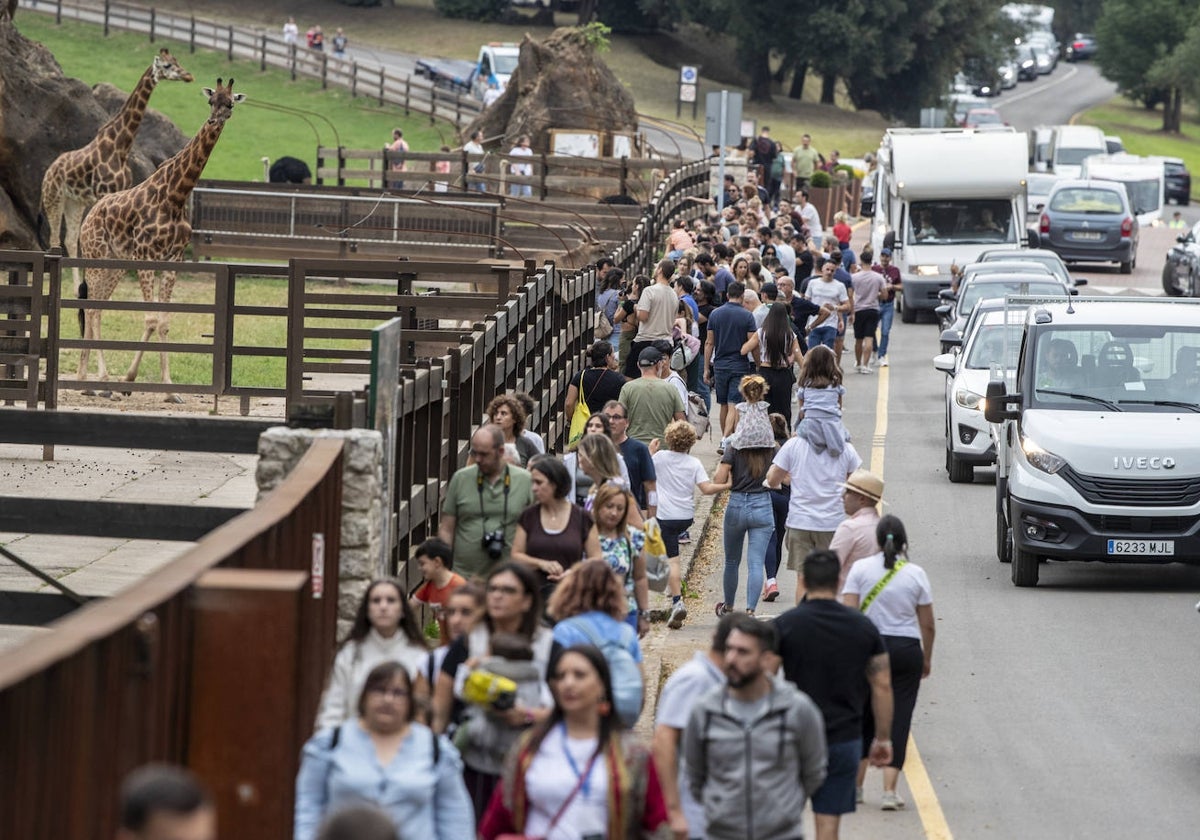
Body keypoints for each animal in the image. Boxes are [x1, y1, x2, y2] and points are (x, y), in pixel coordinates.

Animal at [41, 49, 194, 291]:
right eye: (168, 66)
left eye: (177, 62)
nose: (188, 75)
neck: (121, 145)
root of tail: (50, 170)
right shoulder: (104, 192)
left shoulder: (116, 192)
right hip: (53, 197)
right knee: (55, 238)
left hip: (74, 201)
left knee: (70, 238)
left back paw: (76, 288)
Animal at [76, 79, 246, 403]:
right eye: (211, 101)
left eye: (230, 103)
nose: (214, 121)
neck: (176, 195)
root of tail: (87, 218)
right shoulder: (145, 256)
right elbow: (151, 319)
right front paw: (128, 380)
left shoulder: (172, 260)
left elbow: (164, 322)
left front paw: (169, 390)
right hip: (97, 258)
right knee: (91, 309)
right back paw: (101, 381)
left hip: (116, 264)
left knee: (97, 306)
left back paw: (87, 382)